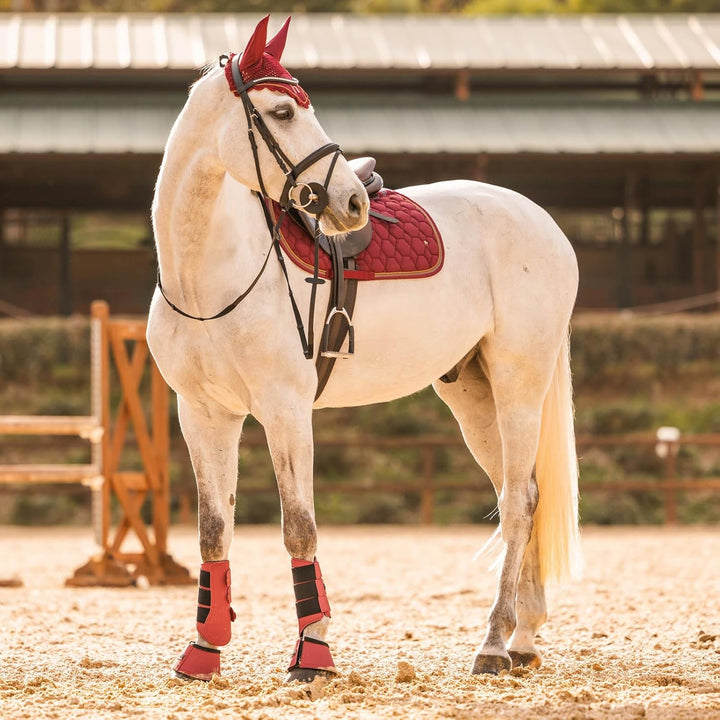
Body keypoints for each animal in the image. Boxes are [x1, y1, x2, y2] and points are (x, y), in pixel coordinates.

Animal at [146, 14, 582, 683]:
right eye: (281, 111)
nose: (352, 202)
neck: (209, 276)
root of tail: (541, 221)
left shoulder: (285, 411)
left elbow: (299, 528)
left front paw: (313, 652)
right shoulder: (203, 415)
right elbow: (213, 530)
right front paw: (205, 650)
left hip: (519, 385)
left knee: (516, 503)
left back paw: (492, 642)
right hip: (473, 396)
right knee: (524, 494)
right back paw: (523, 638)